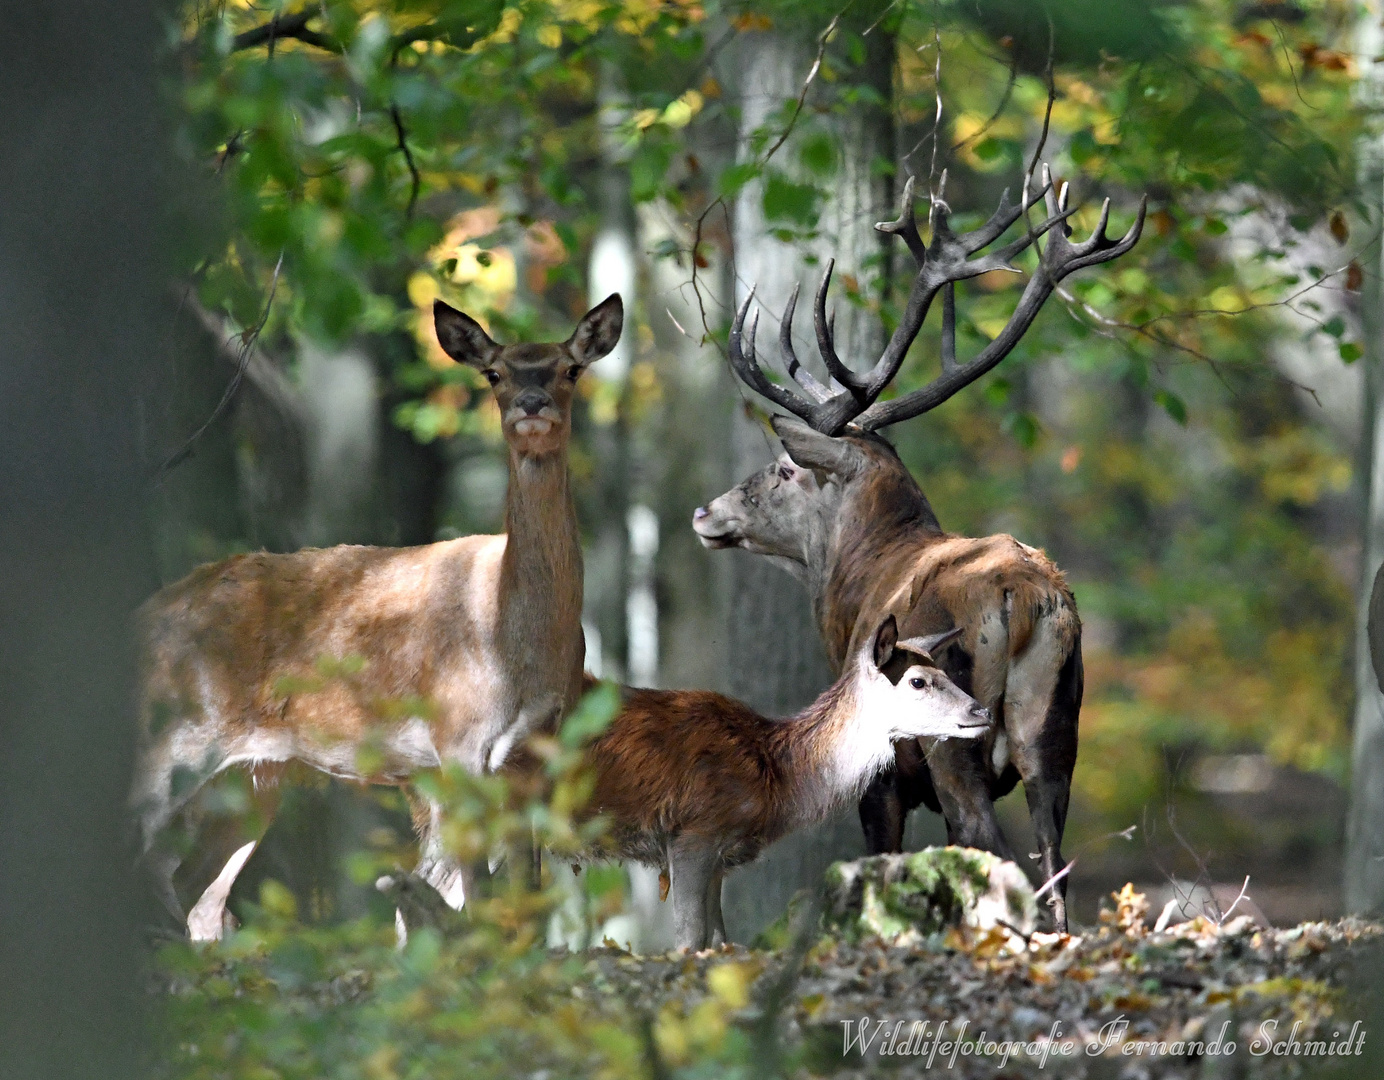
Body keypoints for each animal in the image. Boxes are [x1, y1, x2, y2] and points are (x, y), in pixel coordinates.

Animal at [133, 293, 622, 936]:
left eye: (571, 368)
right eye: (494, 373)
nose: (532, 404)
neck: (510, 638)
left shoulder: (536, 758)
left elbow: (526, 905)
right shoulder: (457, 742)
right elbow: (481, 898)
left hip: (253, 779)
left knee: (198, 897)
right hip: (170, 739)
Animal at [578, 612, 990, 947]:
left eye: (946, 673)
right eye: (917, 681)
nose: (981, 711)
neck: (773, 780)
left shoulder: (720, 856)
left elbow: (720, 940)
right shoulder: (694, 832)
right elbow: (689, 940)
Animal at [689, 166, 1134, 930]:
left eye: (784, 469)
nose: (705, 512)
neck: (852, 587)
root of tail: (1025, 598)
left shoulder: (878, 766)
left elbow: (884, 855)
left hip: (951, 734)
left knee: (987, 844)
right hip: (1057, 728)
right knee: (1054, 863)